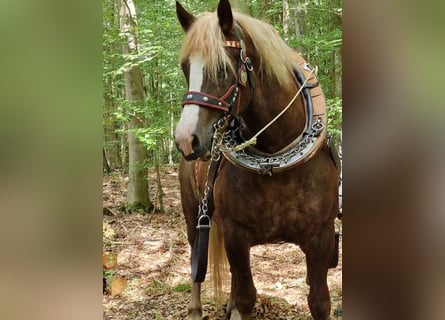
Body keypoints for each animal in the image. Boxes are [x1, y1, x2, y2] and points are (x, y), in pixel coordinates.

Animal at [174, 1, 340, 318]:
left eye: (221, 68)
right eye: (185, 67)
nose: (186, 139)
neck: (275, 160)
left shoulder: (321, 236)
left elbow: (319, 302)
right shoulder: (236, 235)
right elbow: (246, 297)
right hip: (193, 214)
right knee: (195, 256)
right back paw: (195, 308)